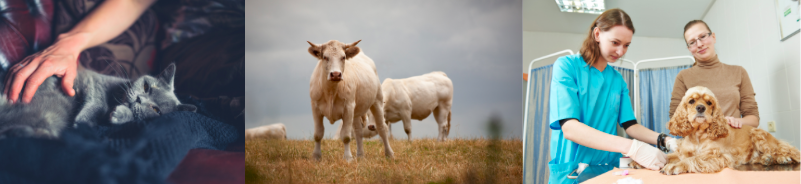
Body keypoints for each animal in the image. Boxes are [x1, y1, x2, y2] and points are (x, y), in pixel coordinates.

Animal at [0, 63, 195, 138]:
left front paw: (120, 114)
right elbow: (98, 102)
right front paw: (82, 120)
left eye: (156, 110)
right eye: (146, 87)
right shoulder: (95, 84)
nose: (139, 99)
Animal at [636, 86, 796, 175]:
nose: (701, 108)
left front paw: (675, 166)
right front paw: (641, 161)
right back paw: (766, 159)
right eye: (691, 101)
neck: (698, 136)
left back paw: (781, 158)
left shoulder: (718, 156)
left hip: (758, 134)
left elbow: (694, 159)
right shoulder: (683, 152)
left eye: (709, 102)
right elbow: (668, 156)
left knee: (787, 151)